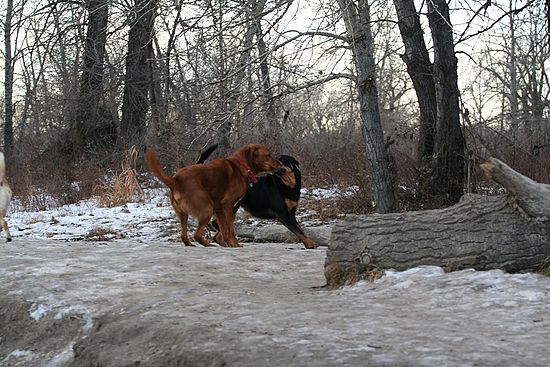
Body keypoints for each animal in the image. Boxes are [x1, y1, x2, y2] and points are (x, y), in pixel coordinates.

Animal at [147, 145, 282, 249]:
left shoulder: (219, 210)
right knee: (196, 235)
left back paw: (192, 244)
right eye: (268, 155)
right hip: (207, 209)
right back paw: (209, 245)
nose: (280, 163)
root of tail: (175, 180)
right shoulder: (227, 205)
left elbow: (224, 231)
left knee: (184, 236)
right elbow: (230, 230)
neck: (242, 166)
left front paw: (229, 245)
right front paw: (235, 244)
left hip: (183, 214)